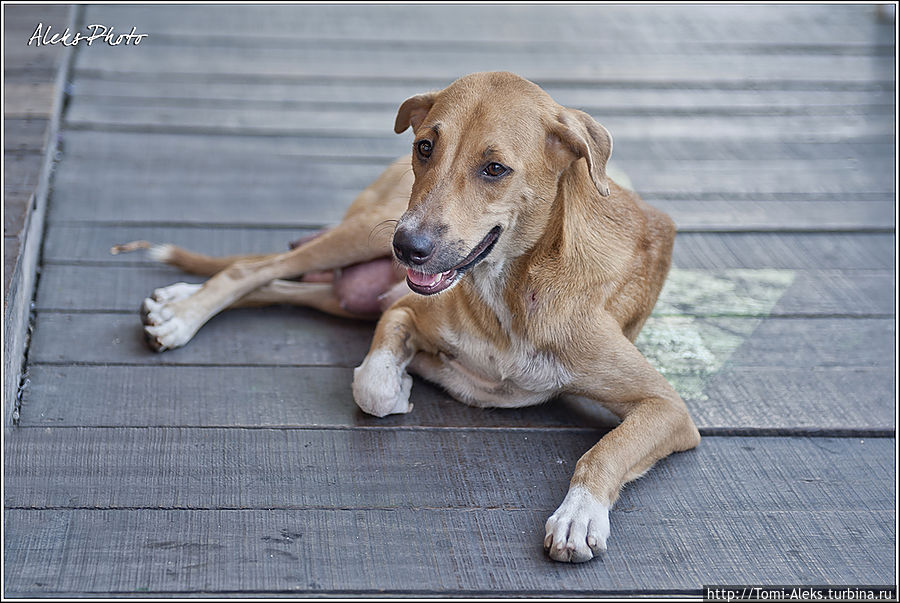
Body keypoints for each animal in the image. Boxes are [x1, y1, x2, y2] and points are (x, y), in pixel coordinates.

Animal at [114, 73, 704, 564]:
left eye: (495, 168)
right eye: (425, 146)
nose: (408, 248)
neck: (513, 287)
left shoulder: (666, 407)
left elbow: (604, 451)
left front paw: (579, 515)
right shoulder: (404, 307)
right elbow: (371, 385)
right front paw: (400, 384)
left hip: (350, 281)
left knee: (279, 283)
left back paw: (176, 302)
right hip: (365, 232)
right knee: (253, 268)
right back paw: (181, 313)